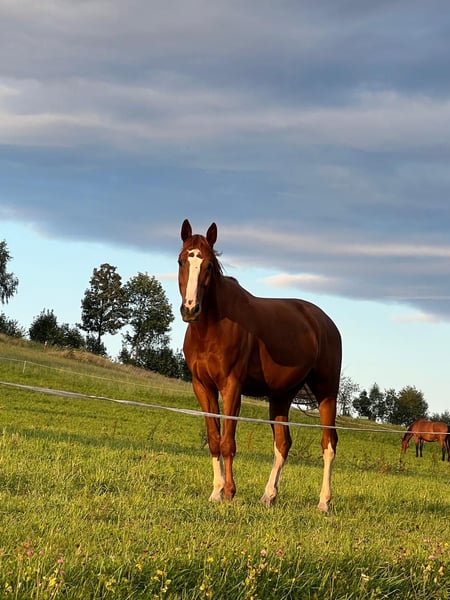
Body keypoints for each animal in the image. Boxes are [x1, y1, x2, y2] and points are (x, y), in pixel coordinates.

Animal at [178, 219, 342, 511]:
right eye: (181, 261)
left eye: (208, 266)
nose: (190, 309)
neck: (211, 329)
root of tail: (325, 322)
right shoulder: (203, 387)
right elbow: (214, 439)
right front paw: (216, 492)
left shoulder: (232, 386)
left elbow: (228, 441)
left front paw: (229, 492)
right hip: (281, 396)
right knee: (283, 443)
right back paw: (268, 496)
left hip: (327, 392)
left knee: (328, 444)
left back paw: (324, 502)